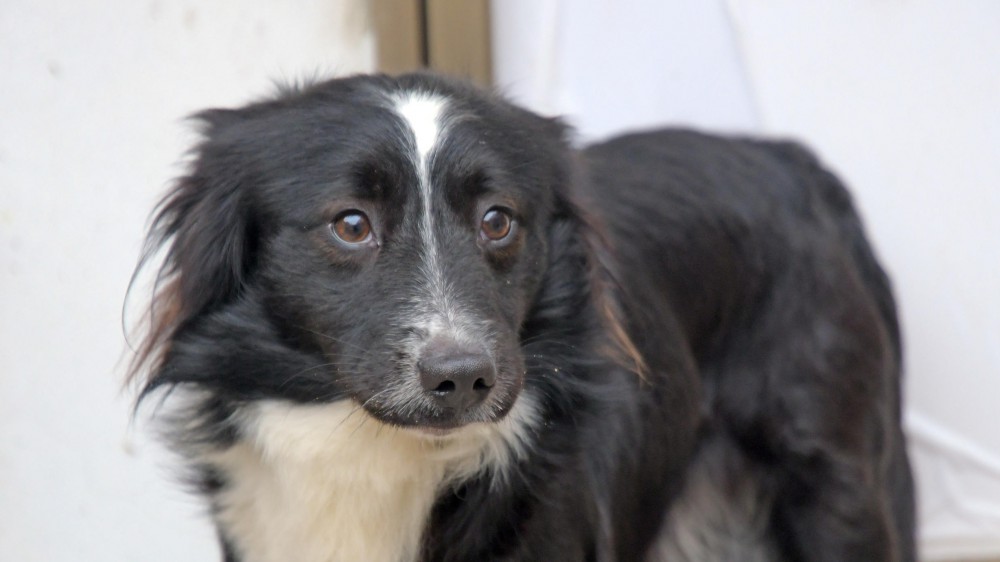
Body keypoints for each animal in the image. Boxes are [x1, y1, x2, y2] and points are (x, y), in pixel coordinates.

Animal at [129, 72, 916, 556]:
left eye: (497, 220)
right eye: (350, 224)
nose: (463, 378)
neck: (375, 450)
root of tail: (792, 162)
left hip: (835, 486)